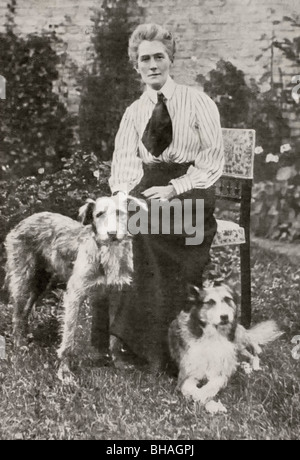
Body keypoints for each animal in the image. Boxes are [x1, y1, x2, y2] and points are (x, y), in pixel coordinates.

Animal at [170, 284, 282, 414]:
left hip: (237, 340)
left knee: (252, 352)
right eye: (210, 302)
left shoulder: (220, 372)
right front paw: (203, 399)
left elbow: (213, 385)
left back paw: (254, 363)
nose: (224, 317)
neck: (212, 336)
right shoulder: (186, 375)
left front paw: (205, 398)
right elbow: (187, 388)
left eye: (228, 299)